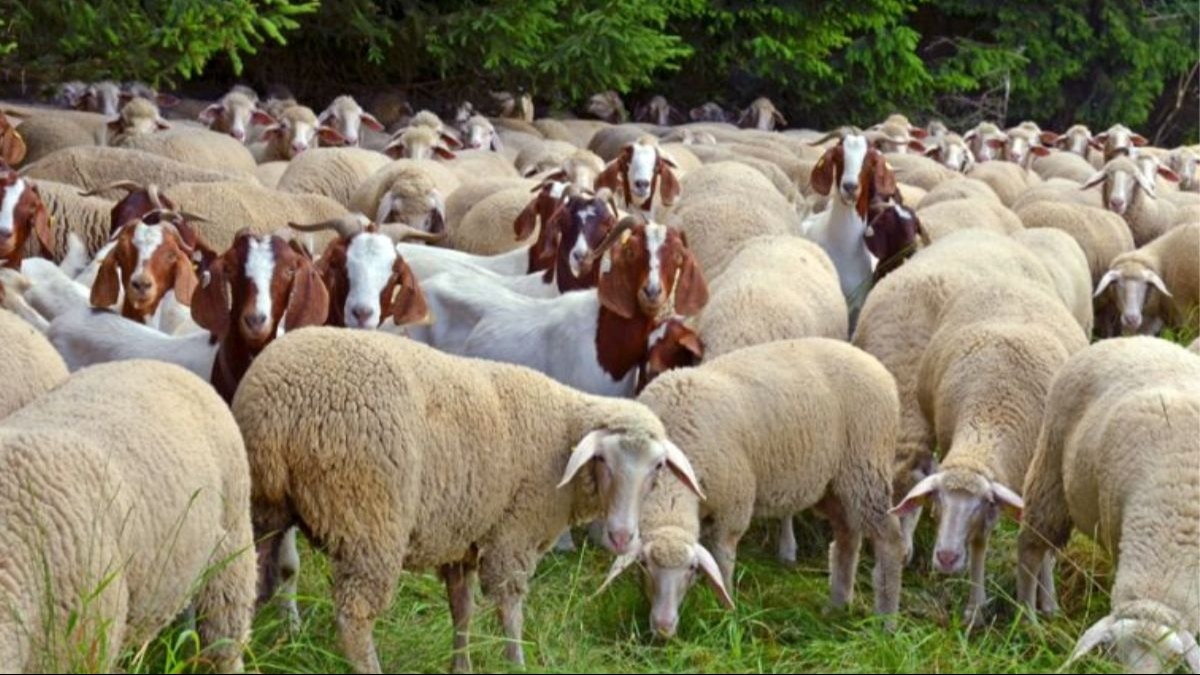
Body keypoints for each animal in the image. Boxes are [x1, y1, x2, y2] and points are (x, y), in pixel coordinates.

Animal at [231, 324, 700, 667]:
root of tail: (278, 411)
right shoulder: (512, 537)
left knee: (253, 586)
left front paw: (462, 665)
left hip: (263, 510)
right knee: (354, 618)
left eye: (657, 468)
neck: (563, 429)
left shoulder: (464, 539)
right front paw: (516, 664)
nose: (621, 536)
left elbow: (463, 611)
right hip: (368, 519)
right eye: (603, 460)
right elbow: (511, 614)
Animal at [888, 281, 1094, 624]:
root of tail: (1012, 282)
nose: (946, 557)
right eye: (938, 499)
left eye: (981, 502)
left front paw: (1047, 601)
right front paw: (975, 608)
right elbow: (979, 542)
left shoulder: (1035, 477)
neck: (987, 421)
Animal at [1012, 336, 1200, 672]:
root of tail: (1129, 339)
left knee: (1048, 551)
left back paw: (1050, 608)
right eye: (1115, 651)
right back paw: (1028, 621)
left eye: (1174, 661)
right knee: (1031, 548)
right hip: (1050, 467)